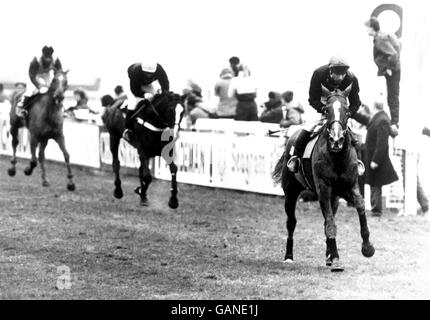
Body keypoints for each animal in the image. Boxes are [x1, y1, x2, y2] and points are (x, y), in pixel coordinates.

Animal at [274, 84, 374, 272]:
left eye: (347, 110)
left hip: (334, 198)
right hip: (291, 193)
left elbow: (359, 205)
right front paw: (336, 259)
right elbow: (330, 223)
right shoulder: (324, 190)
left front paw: (367, 247)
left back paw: (329, 255)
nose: (336, 140)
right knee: (291, 222)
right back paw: (289, 256)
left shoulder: (349, 187)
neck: (337, 157)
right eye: (326, 110)